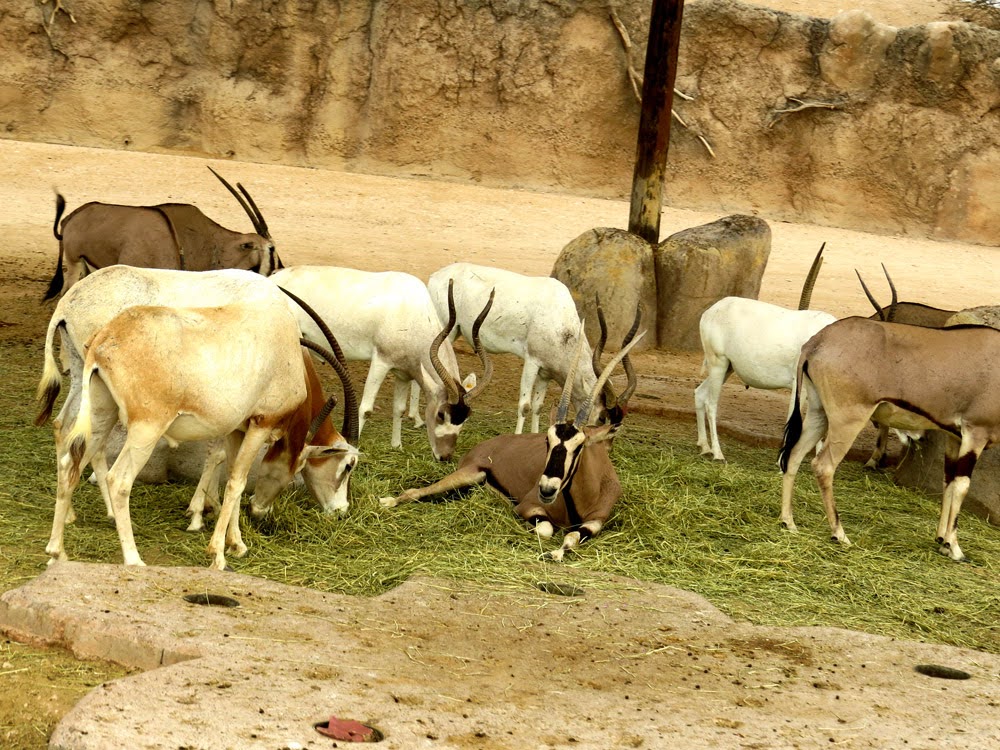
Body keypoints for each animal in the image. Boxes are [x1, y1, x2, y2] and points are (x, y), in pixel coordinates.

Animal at [272, 264, 494, 464]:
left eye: (465, 418)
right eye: (441, 414)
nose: (444, 457)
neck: (412, 312)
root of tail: (275, 279)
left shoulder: (403, 373)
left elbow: (399, 409)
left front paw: (397, 446)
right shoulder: (381, 361)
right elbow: (366, 408)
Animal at [378, 302, 644, 560]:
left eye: (579, 446)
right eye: (547, 441)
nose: (546, 489)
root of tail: (483, 446)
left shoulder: (597, 521)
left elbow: (573, 537)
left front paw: (557, 553)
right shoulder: (528, 506)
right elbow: (545, 528)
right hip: (468, 474)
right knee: (414, 492)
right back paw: (387, 501)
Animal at [692, 245, 832, 464]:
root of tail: (711, 311)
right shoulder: (798, 385)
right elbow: (793, 417)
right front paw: (781, 462)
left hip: (728, 368)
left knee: (699, 393)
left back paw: (704, 447)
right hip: (718, 363)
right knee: (711, 402)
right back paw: (717, 453)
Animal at [776, 318, 1000, 564]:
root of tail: (817, 342)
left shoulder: (954, 437)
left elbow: (948, 482)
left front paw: (942, 541)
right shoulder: (975, 432)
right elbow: (962, 486)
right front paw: (955, 548)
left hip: (819, 414)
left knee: (794, 456)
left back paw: (788, 521)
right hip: (847, 421)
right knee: (823, 466)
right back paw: (839, 534)